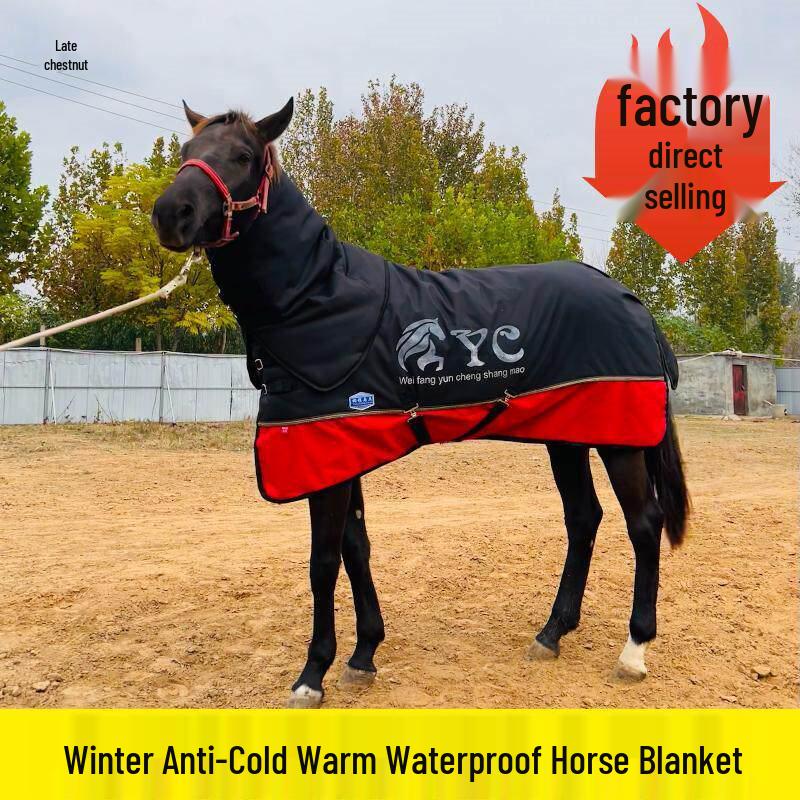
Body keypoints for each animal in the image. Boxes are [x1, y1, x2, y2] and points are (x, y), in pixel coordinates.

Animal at [151, 98, 689, 708]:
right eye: (187, 151)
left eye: (242, 155)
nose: (170, 213)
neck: (317, 298)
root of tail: (632, 302)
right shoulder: (341, 450)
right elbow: (356, 548)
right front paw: (363, 655)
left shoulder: (324, 458)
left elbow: (323, 561)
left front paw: (312, 674)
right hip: (566, 435)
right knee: (584, 518)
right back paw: (551, 633)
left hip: (618, 440)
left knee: (643, 523)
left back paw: (634, 650)